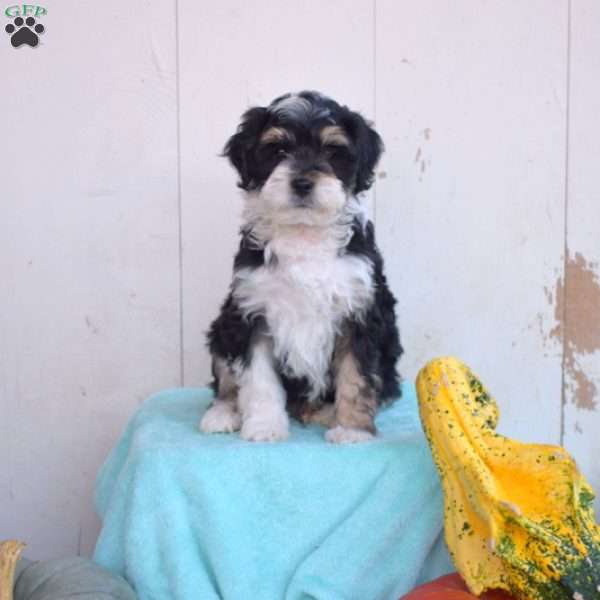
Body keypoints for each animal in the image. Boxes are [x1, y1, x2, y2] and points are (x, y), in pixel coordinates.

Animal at [202, 91, 404, 442]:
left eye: (332, 151)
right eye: (278, 150)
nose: (302, 183)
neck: (304, 233)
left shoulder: (361, 311)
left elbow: (356, 375)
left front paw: (352, 430)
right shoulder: (252, 309)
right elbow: (258, 379)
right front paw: (265, 427)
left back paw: (325, 413)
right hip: (223, 326)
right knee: (225, 379)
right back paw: (223, 413)